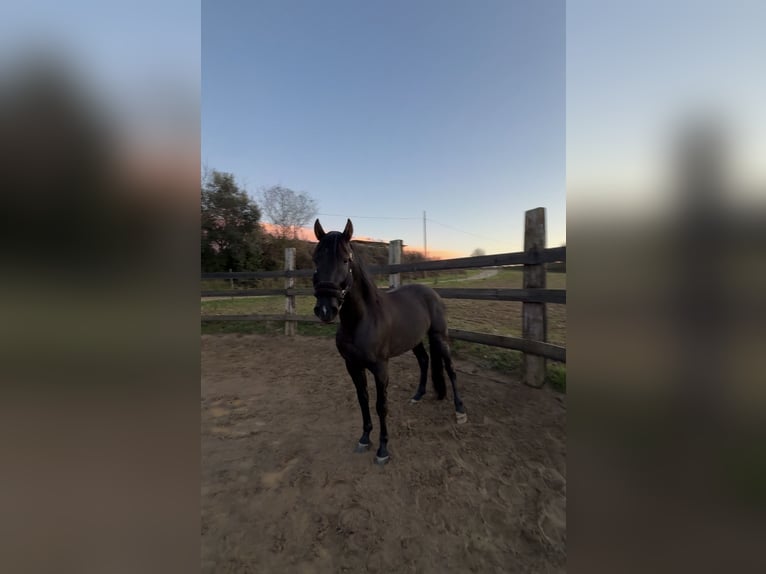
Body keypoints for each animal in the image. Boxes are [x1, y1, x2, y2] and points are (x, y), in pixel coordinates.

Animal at [312, 218, 467, 465]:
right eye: (315, 259)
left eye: (345, 259)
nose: (326, 309)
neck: (362, 320)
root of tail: (431, 292)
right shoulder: (352, 366)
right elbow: (363, 400)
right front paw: (364, 438)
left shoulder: (380, 368)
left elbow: (381, 406)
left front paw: (383, 450)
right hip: (415, 340)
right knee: (424, 361)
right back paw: (417, 396)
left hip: (440, 337)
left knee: (450, 369)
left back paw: (460, 410)